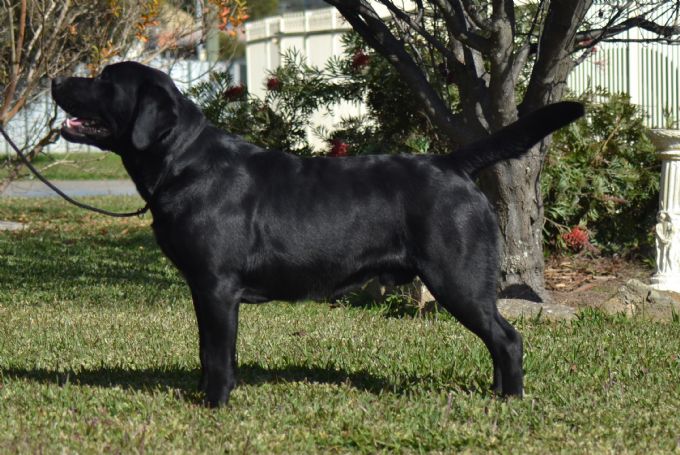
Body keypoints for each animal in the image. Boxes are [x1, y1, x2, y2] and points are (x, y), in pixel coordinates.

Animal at [51, 61, 584, 407]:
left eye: (104, 81)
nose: (55, 80)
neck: (183, 162)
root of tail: (451, 163)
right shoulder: (204, 290)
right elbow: (208, 350)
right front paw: (203, 394)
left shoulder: (216, 286)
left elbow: (217, 353)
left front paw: (215, 404)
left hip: (457, 280)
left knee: (507, 339)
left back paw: (509, 400)